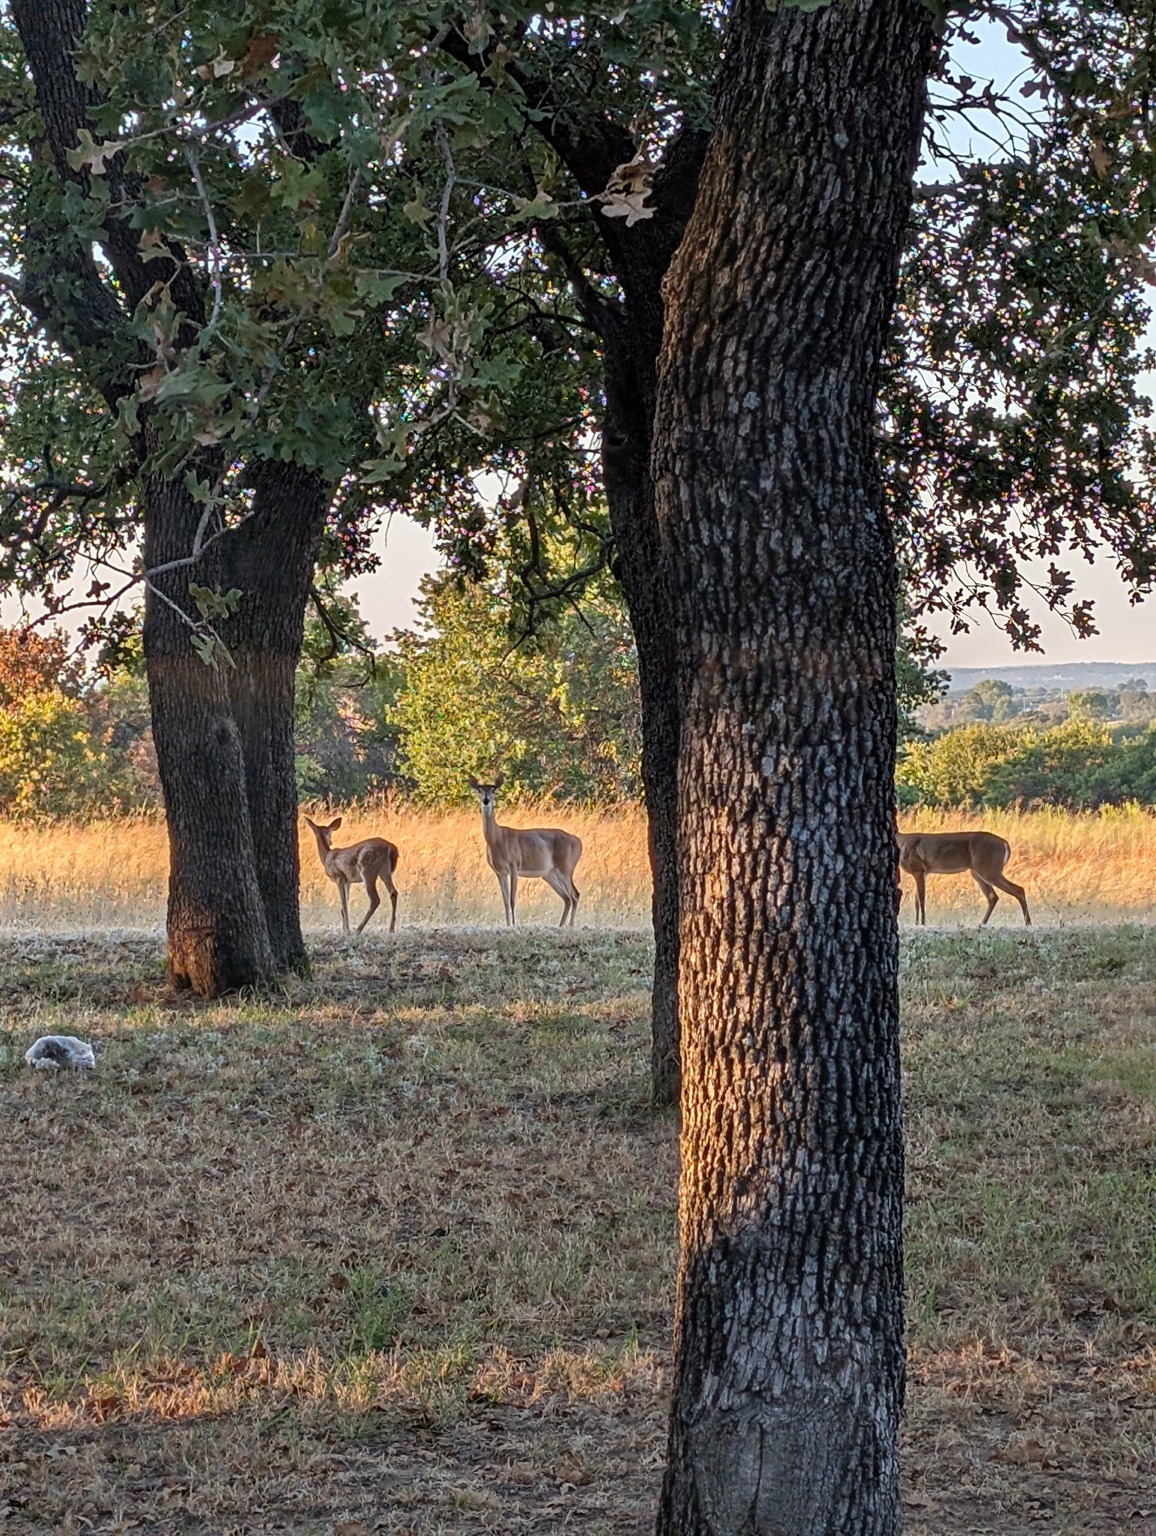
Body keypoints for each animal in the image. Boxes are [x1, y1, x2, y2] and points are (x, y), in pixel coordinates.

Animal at [468, 775, 582, 927]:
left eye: (494, 790)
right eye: (479, 790)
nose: (486, 801)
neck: (497, 839)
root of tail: (578, 842)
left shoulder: (514, 865)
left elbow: (512, 899)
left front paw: (514, 924)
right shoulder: (500, 872)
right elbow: (505, 901)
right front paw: (508, 924)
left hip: (566, 868)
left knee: (575, 895)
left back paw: (570, 925)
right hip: (549, 874)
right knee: (567, 898)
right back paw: (561, 925)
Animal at [898, 830, 1031, 927]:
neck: (901, 843)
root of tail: (1005, 843)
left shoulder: (918, 869)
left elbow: (921, 898)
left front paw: (923, 923)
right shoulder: (923, 873)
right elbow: (916, 899)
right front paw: (916, 923)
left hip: (989, 869)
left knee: (1018, 889)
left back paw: (1028, 922)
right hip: (978, 872)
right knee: (993, 896)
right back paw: (982, 923)